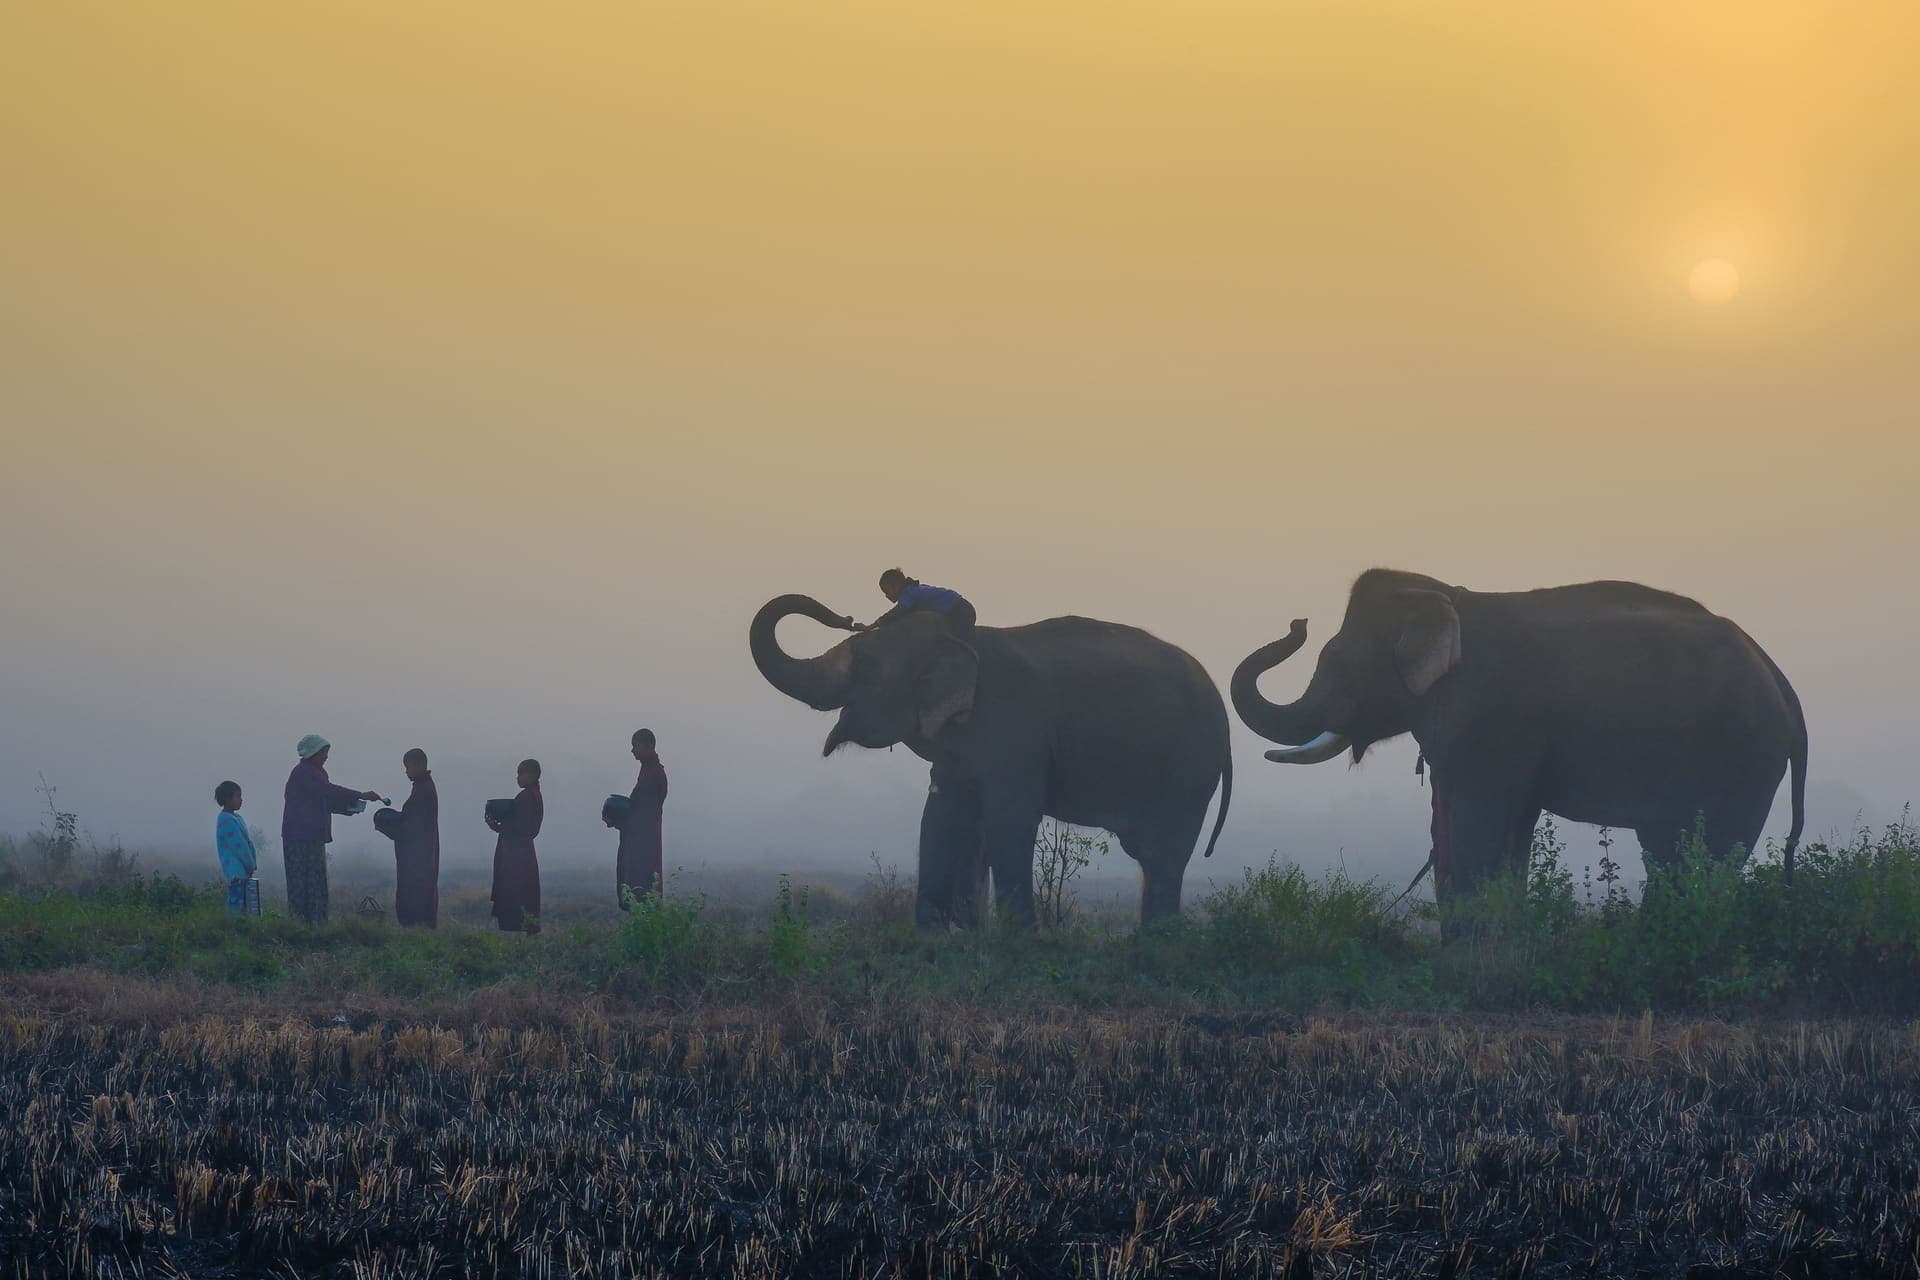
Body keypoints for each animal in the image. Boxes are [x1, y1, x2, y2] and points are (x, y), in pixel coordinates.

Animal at [750, 594, 1233, 926]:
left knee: (1165, 851)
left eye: (864, 663)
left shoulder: (1016, 732)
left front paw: (1020, 939)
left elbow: (1008, 820)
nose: (846, 617)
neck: (964, 641)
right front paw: (934, 937)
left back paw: (1157, 941)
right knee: (1154, 854)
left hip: (1190, 766)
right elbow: (939, 817)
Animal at [1232, 569, 1808, 899]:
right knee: (1669, 850)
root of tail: (1782, 681)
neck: (1450, 598)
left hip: (1742, 758)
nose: (1298, 623)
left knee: (1709, 856)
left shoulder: (1489, 719)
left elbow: (1480, 824)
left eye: (1335, 661)